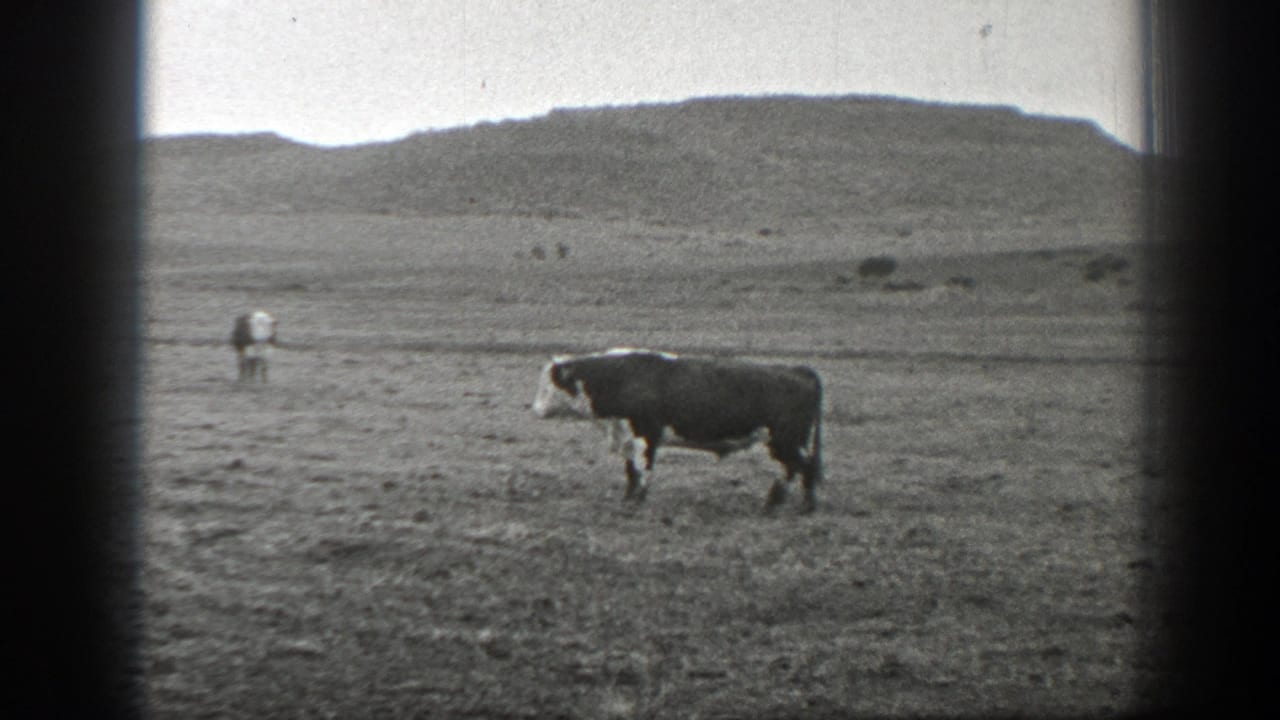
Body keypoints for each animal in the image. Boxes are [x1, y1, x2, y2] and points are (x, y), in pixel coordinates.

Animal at [532, 348, 824, 513]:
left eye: (548, 386)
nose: (535, 409)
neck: (621, 377)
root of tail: (798, 370)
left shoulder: (646, 435)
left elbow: (643, 469)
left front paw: (638, 500)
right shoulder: (628, 438)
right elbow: (630, 471)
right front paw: (628, 498)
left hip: (785, 440)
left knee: (802, 467)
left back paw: (797, 505)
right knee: (796, 469)